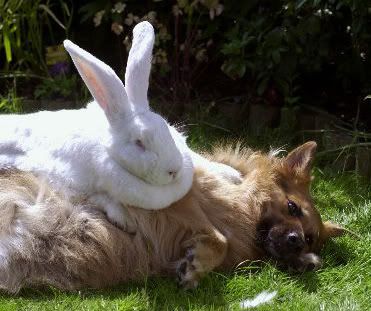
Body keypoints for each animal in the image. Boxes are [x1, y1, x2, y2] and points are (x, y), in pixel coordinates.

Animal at [0, 141, 346, 292]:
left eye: (310, 238)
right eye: (292, 207)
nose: (296, 241)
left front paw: (305, 261)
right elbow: (216, 236)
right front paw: (196, 265)